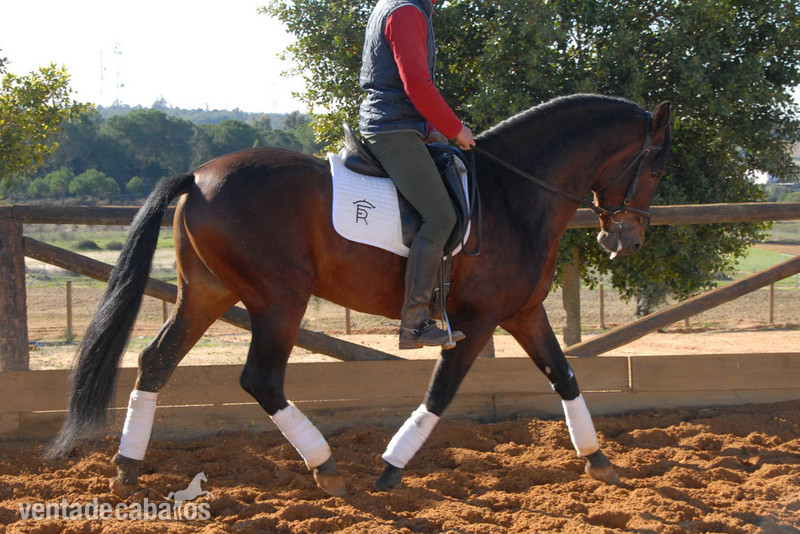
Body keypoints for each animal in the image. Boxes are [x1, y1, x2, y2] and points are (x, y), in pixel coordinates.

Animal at [47, 94, 671, 498]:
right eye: (656, 170)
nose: (628, 239)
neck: (514, 193)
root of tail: (198, 176)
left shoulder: (524, 312)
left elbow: (564, 376)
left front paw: (599, 461)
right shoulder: (476, 321)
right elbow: (441, 394)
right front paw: (391, 469)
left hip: (207, 293)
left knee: (157, 361)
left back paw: (127, 466)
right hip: (279, 301)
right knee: (261, 379)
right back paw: (325, 467)